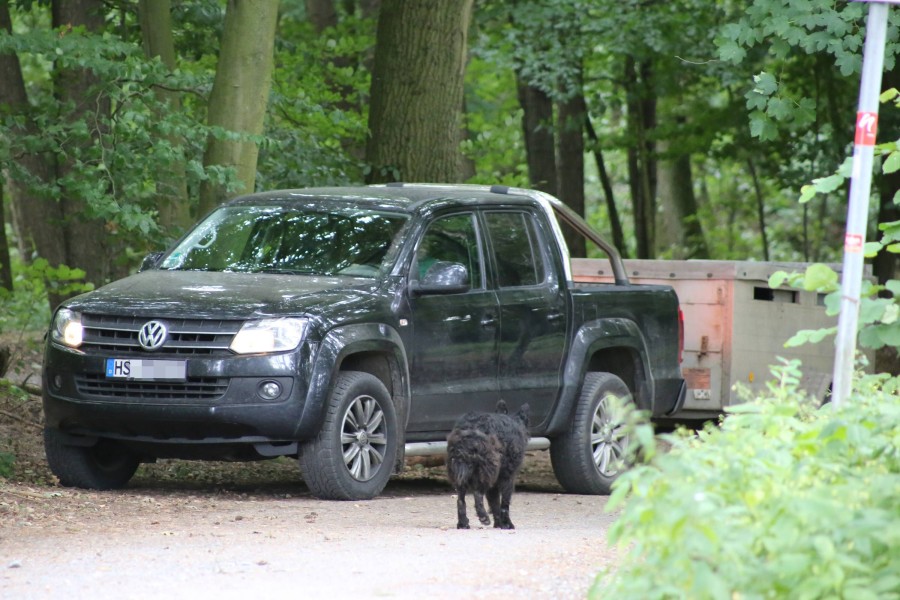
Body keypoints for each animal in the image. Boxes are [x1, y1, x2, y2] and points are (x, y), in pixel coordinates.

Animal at [448, 400, 532, 528]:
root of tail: (470, 430)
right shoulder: (507, 477)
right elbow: (504, 503)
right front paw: (507, 523)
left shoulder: (495, 482)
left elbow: (494, 503)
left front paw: (499, 524)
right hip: (486, 471)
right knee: (477, 494)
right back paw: (483, 517)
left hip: (462, 473)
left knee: (460, 500)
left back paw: (463, 523)